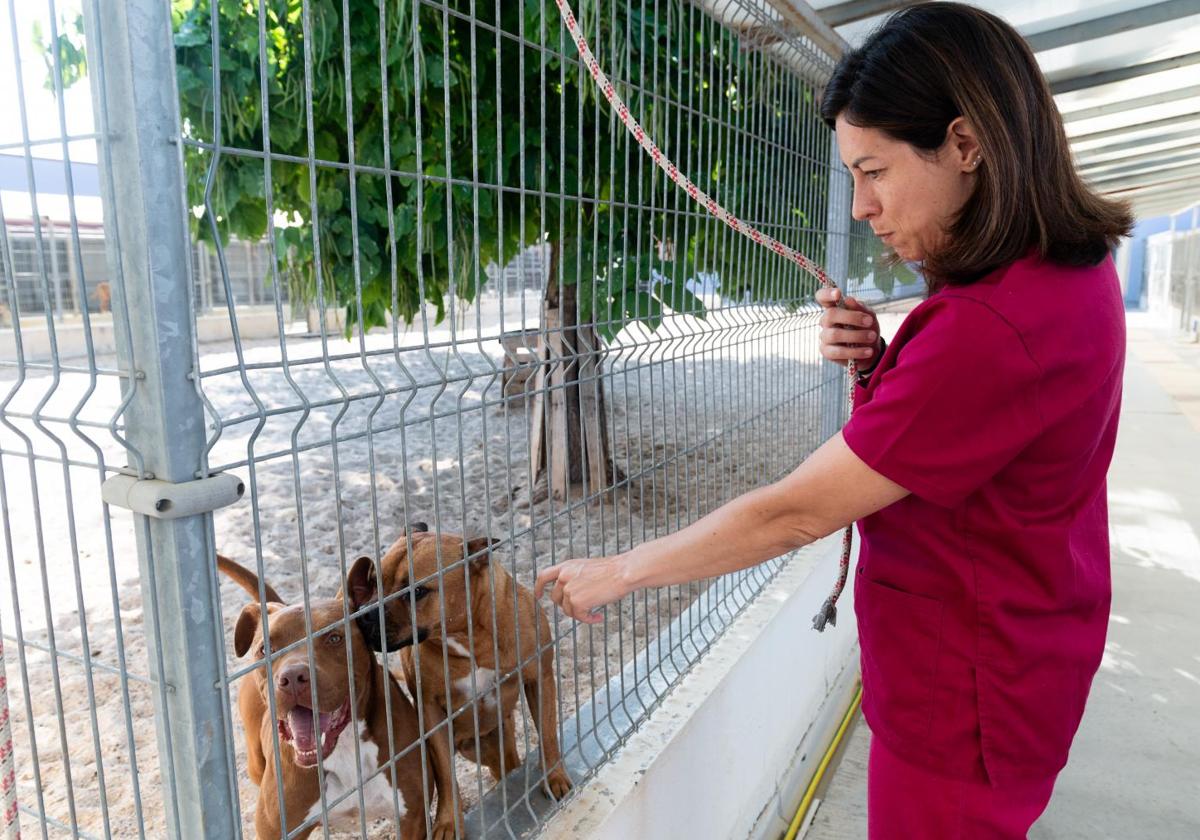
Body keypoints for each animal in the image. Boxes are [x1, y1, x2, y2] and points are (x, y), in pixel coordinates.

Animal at [216, 554, 458, 840]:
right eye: (266, 648)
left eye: (334, 638)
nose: (292, 677)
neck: (344, 746)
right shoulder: (276, 831)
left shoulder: (413, 817)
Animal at [348, 525, 571, 801]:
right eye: (373, 582)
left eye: (416, 592)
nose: (365, 615)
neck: (468, 637)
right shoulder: (430, 711)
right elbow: (447, 777)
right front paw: (449, 814)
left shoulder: (540, 677)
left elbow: (548, 733)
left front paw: (554, 776)